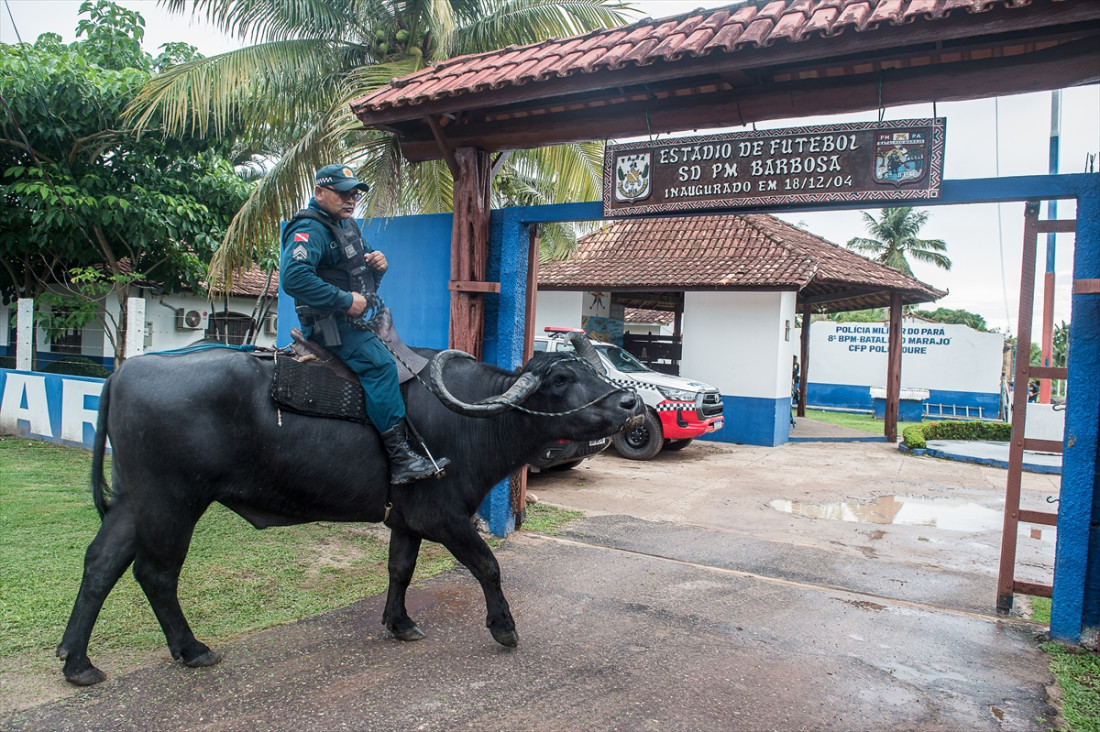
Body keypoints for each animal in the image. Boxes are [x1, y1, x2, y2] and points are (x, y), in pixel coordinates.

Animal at [58, 339, 642, 686]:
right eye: (561, 380)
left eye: (590, 370)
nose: (630, 402)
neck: (473, 420)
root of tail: (127, 370)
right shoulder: (446, 517)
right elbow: (488, 566)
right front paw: (504, 628)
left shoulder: (406, 520)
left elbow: (400, 569)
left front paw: (399, 622)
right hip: (173, 501)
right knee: (156, 572)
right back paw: (192, 648)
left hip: (133, 501)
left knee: (100, 564)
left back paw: (78, 661)